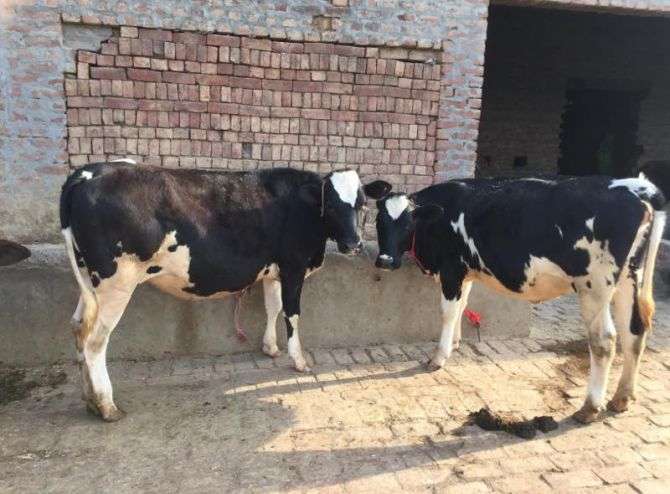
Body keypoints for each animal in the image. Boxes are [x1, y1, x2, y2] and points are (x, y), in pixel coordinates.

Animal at [60, 159, 389, 421]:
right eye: (331, 204)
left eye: (362, 204)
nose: (354, 244)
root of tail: (91, 171)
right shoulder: (294, 267)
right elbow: (292, 314)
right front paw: (299, 361)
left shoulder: (274, 271)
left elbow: (273, 307)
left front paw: (270, 347)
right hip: (117, 281)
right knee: (95, 341)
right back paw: (106, 406)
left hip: (90, 280)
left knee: (78, 328)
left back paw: (90, 400)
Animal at [364, 173, 666, 423]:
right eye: (379, 221)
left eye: (408, 224)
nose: (385, 260)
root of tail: (636, 186)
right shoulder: (467, 273)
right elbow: (462, 306)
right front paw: (456, 343)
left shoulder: (452, 271)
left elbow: (448, 312)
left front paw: (439, 357)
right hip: (630, 277)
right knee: (634, 332)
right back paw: (622, 397)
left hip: (595, 285)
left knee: (604, 341)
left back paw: (590, 407)